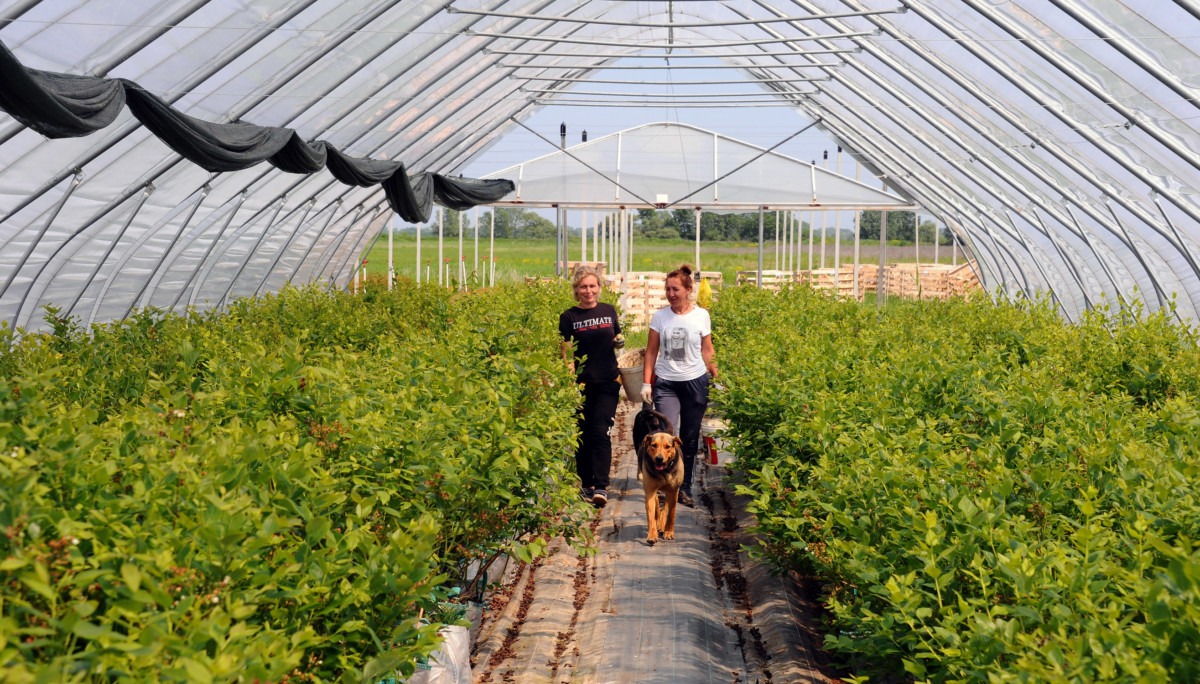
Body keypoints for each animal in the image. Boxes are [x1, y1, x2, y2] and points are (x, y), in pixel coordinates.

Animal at [638, 405, 686, 542]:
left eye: (667, 447)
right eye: (654, 445)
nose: (659, 459)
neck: (664, 471)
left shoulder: (674, 490)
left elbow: (671, 514)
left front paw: (668, 531)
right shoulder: (650, 490)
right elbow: (651, 514)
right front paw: (652, 534)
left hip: (670, 491)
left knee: (665, 507)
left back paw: (662, 525)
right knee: (657, 505)